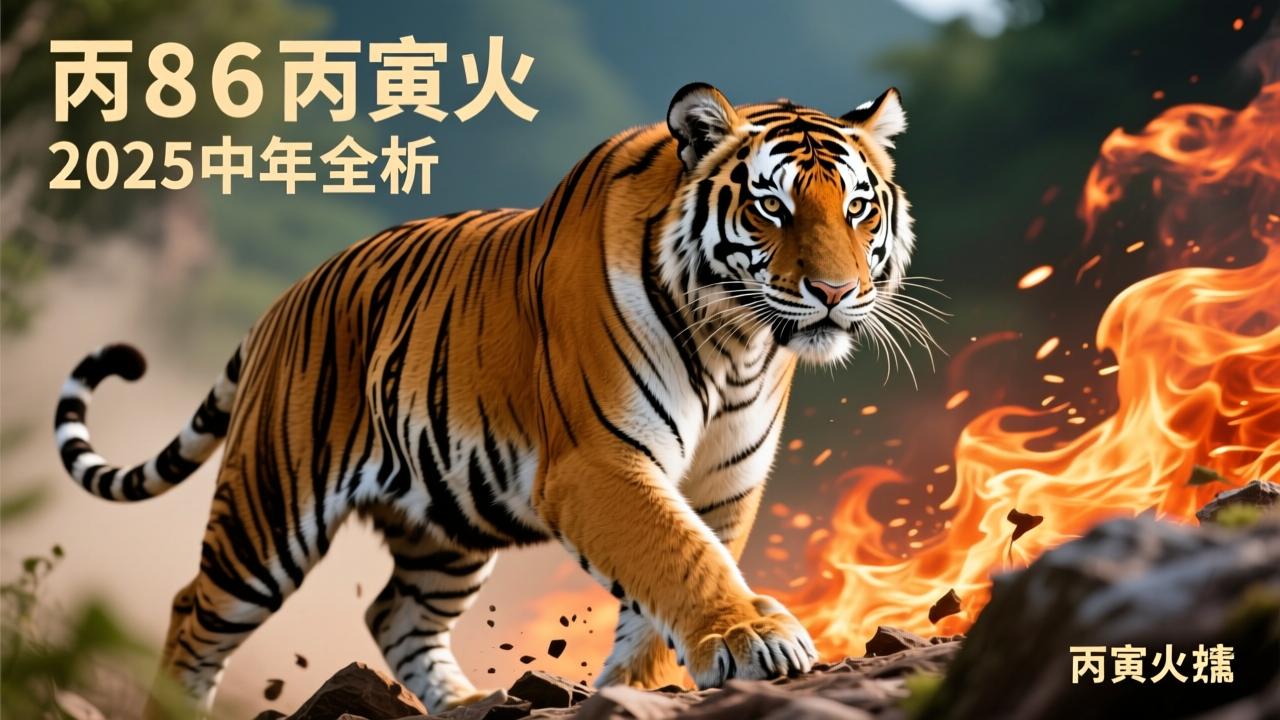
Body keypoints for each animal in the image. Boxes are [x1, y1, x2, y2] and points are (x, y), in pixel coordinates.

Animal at [52, 82, 915, 715]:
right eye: (772, 206)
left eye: (857, 207)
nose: (836, 293)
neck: (737, 344)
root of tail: (282, 302)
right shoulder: (599, 463)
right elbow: (678, 554)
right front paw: (750, 638)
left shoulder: (724, 484)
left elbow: (667, 586)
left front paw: (634, 690)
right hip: (269, 512)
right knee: (192, 610)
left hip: (446, 523)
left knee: (393, 614)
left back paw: (468, 703)